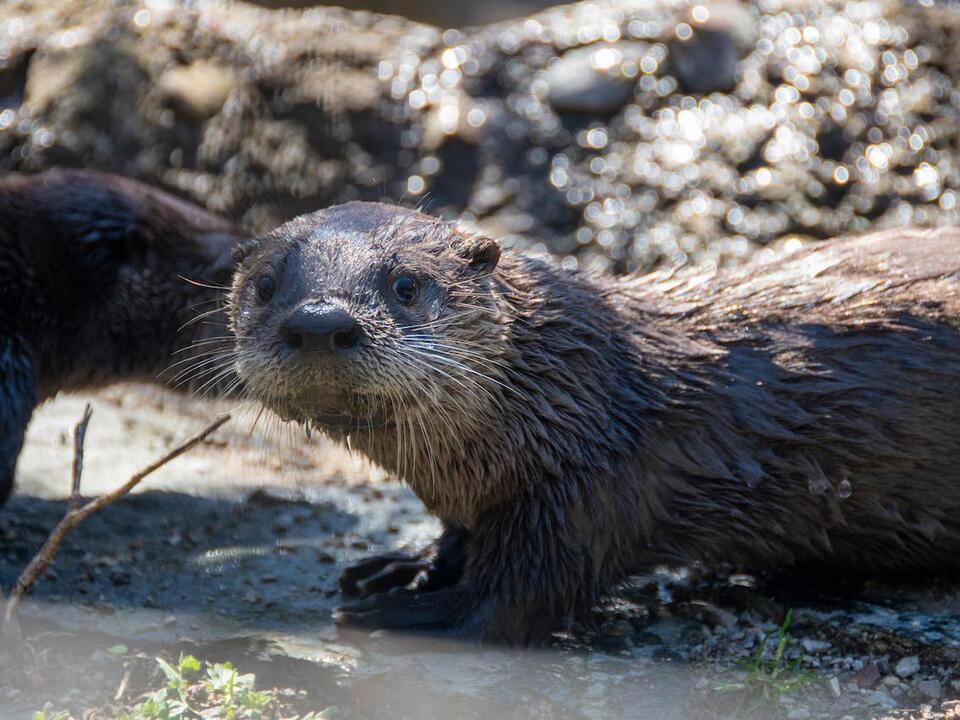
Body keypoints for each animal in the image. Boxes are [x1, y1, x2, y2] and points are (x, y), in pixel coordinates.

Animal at [230, 201, 960, 645]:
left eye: (406, 286)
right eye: (265, 285)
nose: (320, 322)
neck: (577, 399)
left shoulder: (594, 486)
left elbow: (516, 597)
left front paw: (404, 612)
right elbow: (464, 542)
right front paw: (402, 568)